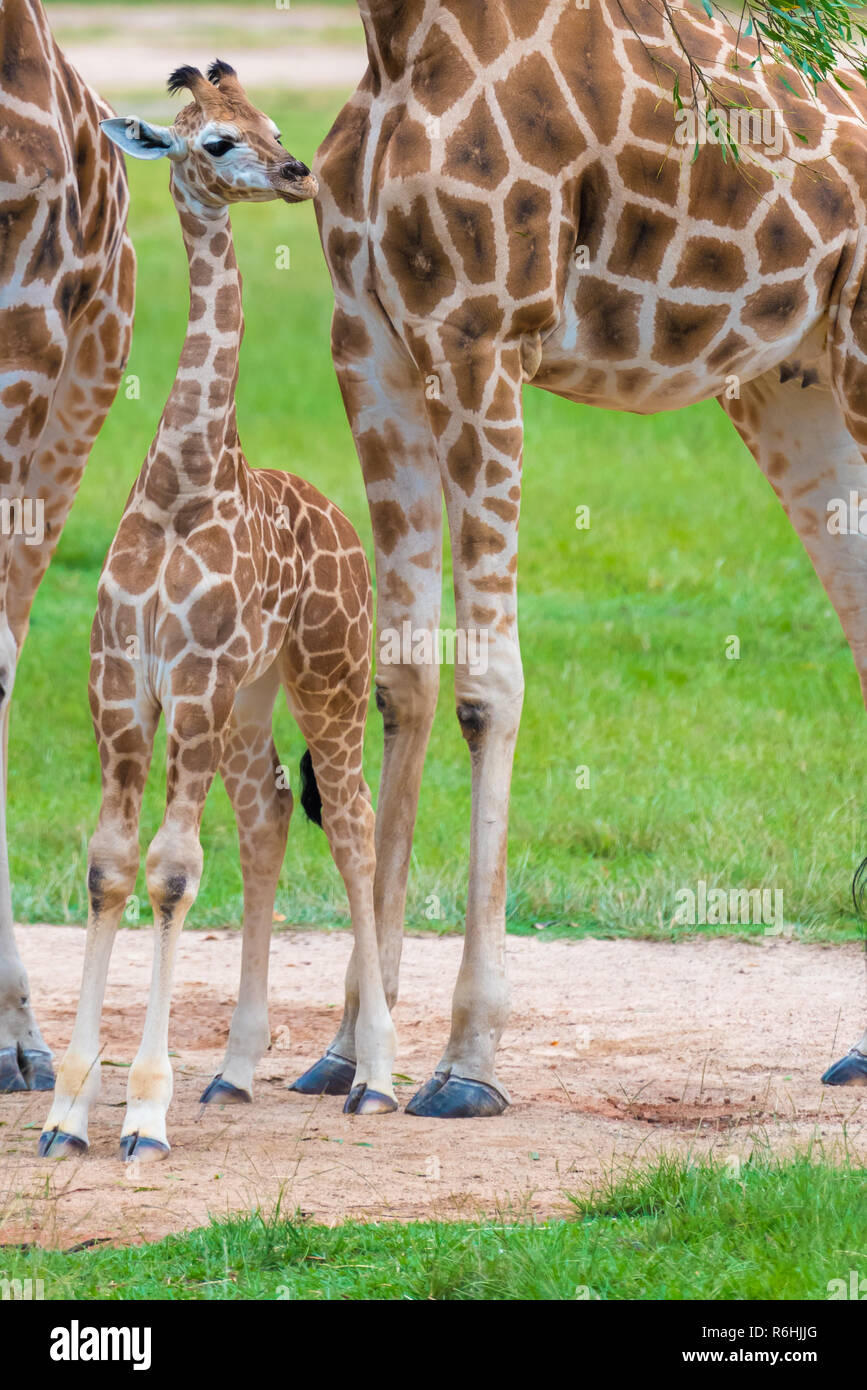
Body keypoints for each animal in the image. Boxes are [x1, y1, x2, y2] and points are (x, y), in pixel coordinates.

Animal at [39, 61, 396, 1163]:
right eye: (216, 143)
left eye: (272, 124)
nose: (295, 172)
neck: (181, 484)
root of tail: (345, 527)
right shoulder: (124, 687)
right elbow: (112, 865)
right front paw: (69, 1110)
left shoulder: (187, 685)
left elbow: (170, 870)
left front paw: (143, 1114)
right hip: (249, 701)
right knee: (271, 814)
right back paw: (236, 1070)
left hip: (328, 675)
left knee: (355, 822)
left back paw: (377, 1076)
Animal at [293, 0, 867, 1116]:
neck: (399, 38)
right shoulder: (369, 342)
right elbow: (400, 681)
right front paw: (349, 1051)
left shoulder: (481, 338)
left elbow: (487, 686)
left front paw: (467, 1061)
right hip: (795, 386)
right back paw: (862, 1048)